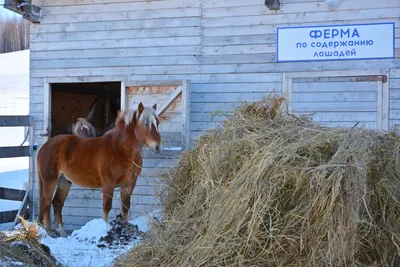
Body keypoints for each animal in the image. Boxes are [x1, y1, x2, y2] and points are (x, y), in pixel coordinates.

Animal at [36, 102, 162, 237]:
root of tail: (44, 147)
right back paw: (48, 232)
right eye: (146, 123)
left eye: (157, 123)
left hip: (64, 181)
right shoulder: (108, 182)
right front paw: (105, 229)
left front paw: (125, 228)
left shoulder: (129, 184)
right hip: (50, 180)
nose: (157, 147)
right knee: (46, 204)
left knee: (57, 203)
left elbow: (125, 207)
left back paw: (62, 233)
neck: (120, 149)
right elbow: (107, 206)